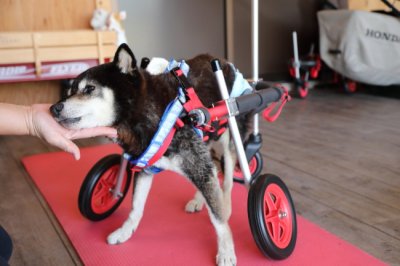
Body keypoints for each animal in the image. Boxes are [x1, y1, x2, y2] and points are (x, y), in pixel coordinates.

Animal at [50, 43, 250, 264]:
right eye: (70, 91)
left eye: (89, 89)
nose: (54, 108)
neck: (149, 115)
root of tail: (221, 60)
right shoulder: (145, 167)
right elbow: (136, 208)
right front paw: (125, 232)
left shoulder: (196, 163)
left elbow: (218, 220)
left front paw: (226, 251)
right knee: (214, 169)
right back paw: (199, 200)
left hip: (227, 136)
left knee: (228, 176)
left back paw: (226, 204)